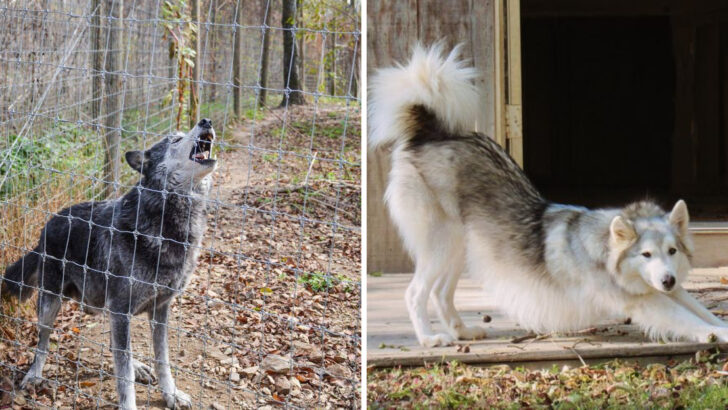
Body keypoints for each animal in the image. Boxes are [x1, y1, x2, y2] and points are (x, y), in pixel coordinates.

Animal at [1, 119, 217, 409]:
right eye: (175, 140)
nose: (206, 121)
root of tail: (46, 227)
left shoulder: (159, 309)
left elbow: (162, 359)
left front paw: (171, 394)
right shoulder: (121, 310)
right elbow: (123, 375)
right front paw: (130, 403)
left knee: (115, 346)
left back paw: (140, 368)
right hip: (50, 305)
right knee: (43, 343)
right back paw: (34, 375)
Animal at [369, 44, 728, 348]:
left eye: (672, 251)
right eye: (646, 255)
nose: (668, 280)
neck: (602, 249)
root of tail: (430, 132)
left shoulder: (664, 290)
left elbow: (699, 308)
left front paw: (718, 326)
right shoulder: (644, 299)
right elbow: (687, 319)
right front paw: (714, 334)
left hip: (459, 247)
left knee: (441, 292)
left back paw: (462, 331)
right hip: (441, 245)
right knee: (415, 293)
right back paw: (430, 338)